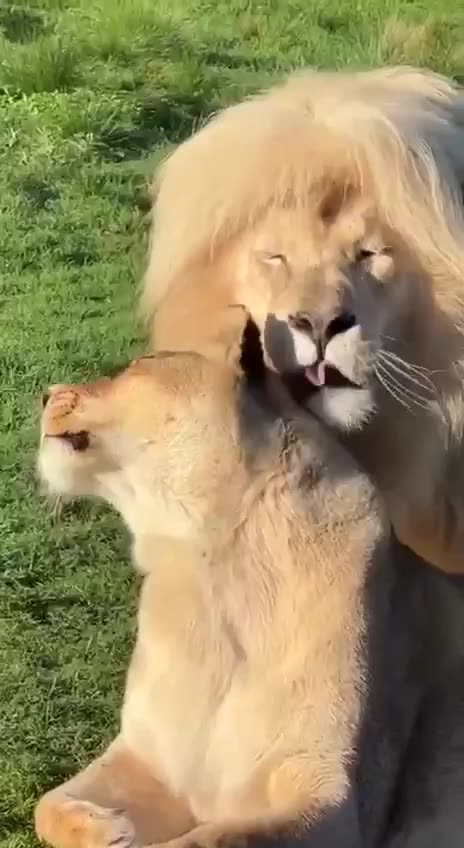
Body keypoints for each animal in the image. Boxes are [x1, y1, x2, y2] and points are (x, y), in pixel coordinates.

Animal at [35, 308, 464, 848]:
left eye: (136, 365)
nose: (45, 394)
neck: (207, 562)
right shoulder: (148, 756)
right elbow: (46, 804)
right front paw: (110, 828)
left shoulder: (329, 792)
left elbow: (212, 839)